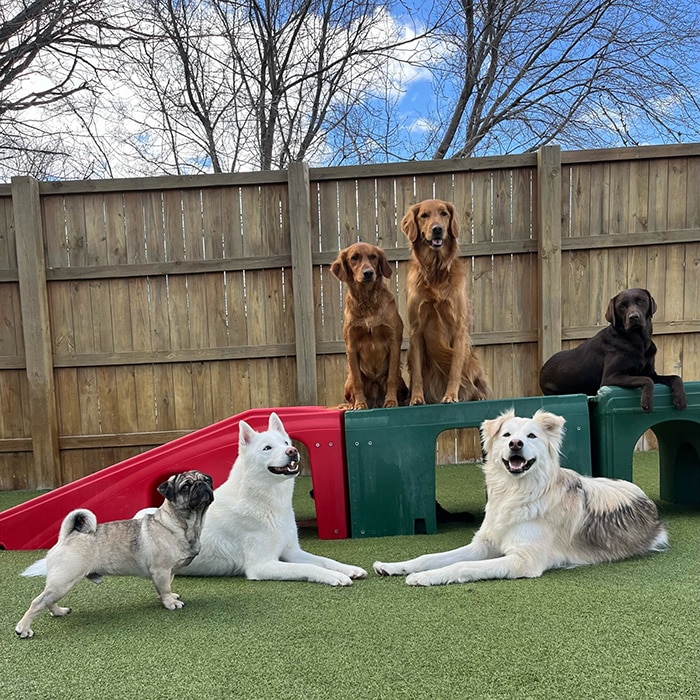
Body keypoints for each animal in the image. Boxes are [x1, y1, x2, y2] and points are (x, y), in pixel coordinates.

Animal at [15, 468, 213, 636]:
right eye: (186, 486)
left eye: (206, 480)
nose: (202, 484)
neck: (180, 524)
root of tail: (66, 537)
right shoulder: (161, 570)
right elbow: (164, 588)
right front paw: (170, 602)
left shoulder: (169, 571)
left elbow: (167, 586)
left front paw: (169, 597)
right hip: (64, 581)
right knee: (38, 602)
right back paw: (23, 629)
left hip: (61, 584)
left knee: (48, 600)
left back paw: (58, 612)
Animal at [178, 410, 366, 584]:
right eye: (267, 448)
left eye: (285, 443)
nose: (292, 451)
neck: (269, 502)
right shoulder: (262, 565)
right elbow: (308, 567)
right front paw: (334, 576)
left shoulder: (292, 552)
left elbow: (324, 560)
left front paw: (348, 569)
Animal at [374, 410, 664, 584]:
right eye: (506, 435)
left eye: (531, 436)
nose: (516, 444)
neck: (515, 494)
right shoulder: (483, 545)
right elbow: (429, 556)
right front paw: (395, 566)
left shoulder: (523, 561)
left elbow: (462, 566)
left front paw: (425, 577)